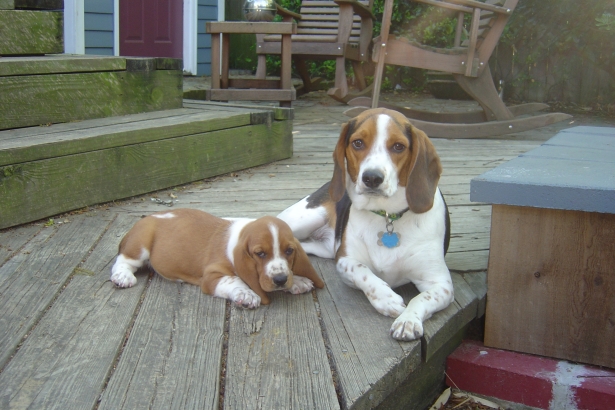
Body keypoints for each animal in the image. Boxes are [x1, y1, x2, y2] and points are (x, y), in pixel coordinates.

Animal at [110, 208, 324, 307]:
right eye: (260, 254)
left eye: (289, 251)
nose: (280, 280)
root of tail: (147, 217)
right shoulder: (212, 276)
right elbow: (234, 280)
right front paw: (246, 294)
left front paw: (298, 280)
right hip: (140, 245)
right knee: (122, 260)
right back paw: (123, 277)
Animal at [277, 108, 453, 340]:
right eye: (358, 143)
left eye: (399, 146)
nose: (372, 178)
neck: (386, 216)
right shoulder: (344, 260)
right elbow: (362, 271)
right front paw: (386, 298)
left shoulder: (441, 284)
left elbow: (421, 298)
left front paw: (407, 320)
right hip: (303, 220)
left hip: (321, 248)